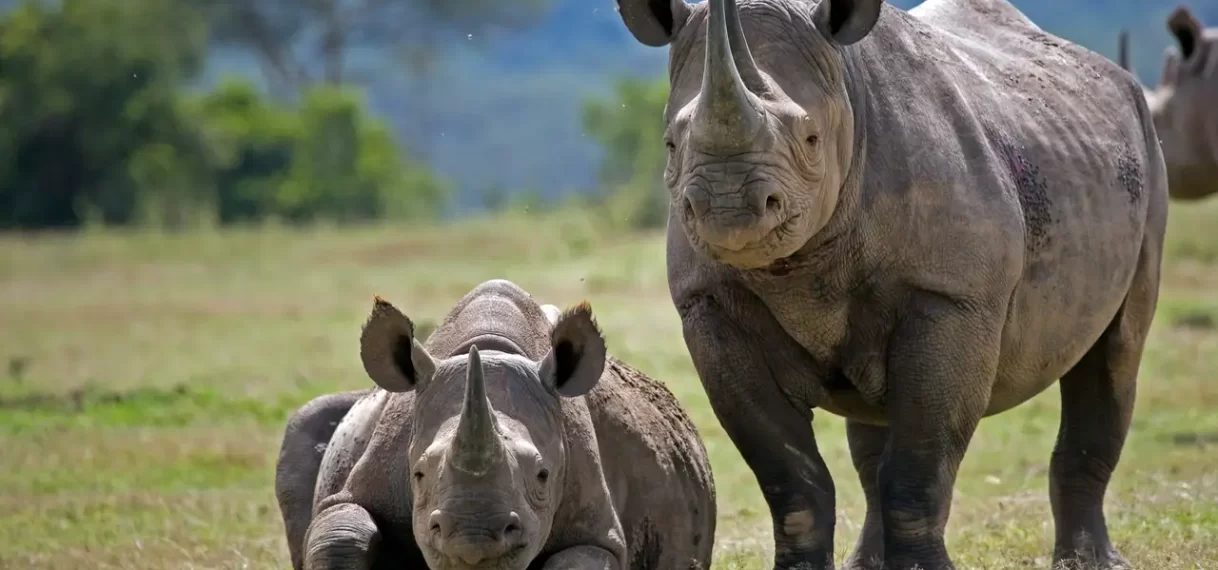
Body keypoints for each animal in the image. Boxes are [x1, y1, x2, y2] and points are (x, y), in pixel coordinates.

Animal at [276, 280, 711, 570]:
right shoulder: (360, 487)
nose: (472, 539)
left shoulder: (598, 532)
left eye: (543, 475)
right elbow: (341, 535)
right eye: (417, 474)